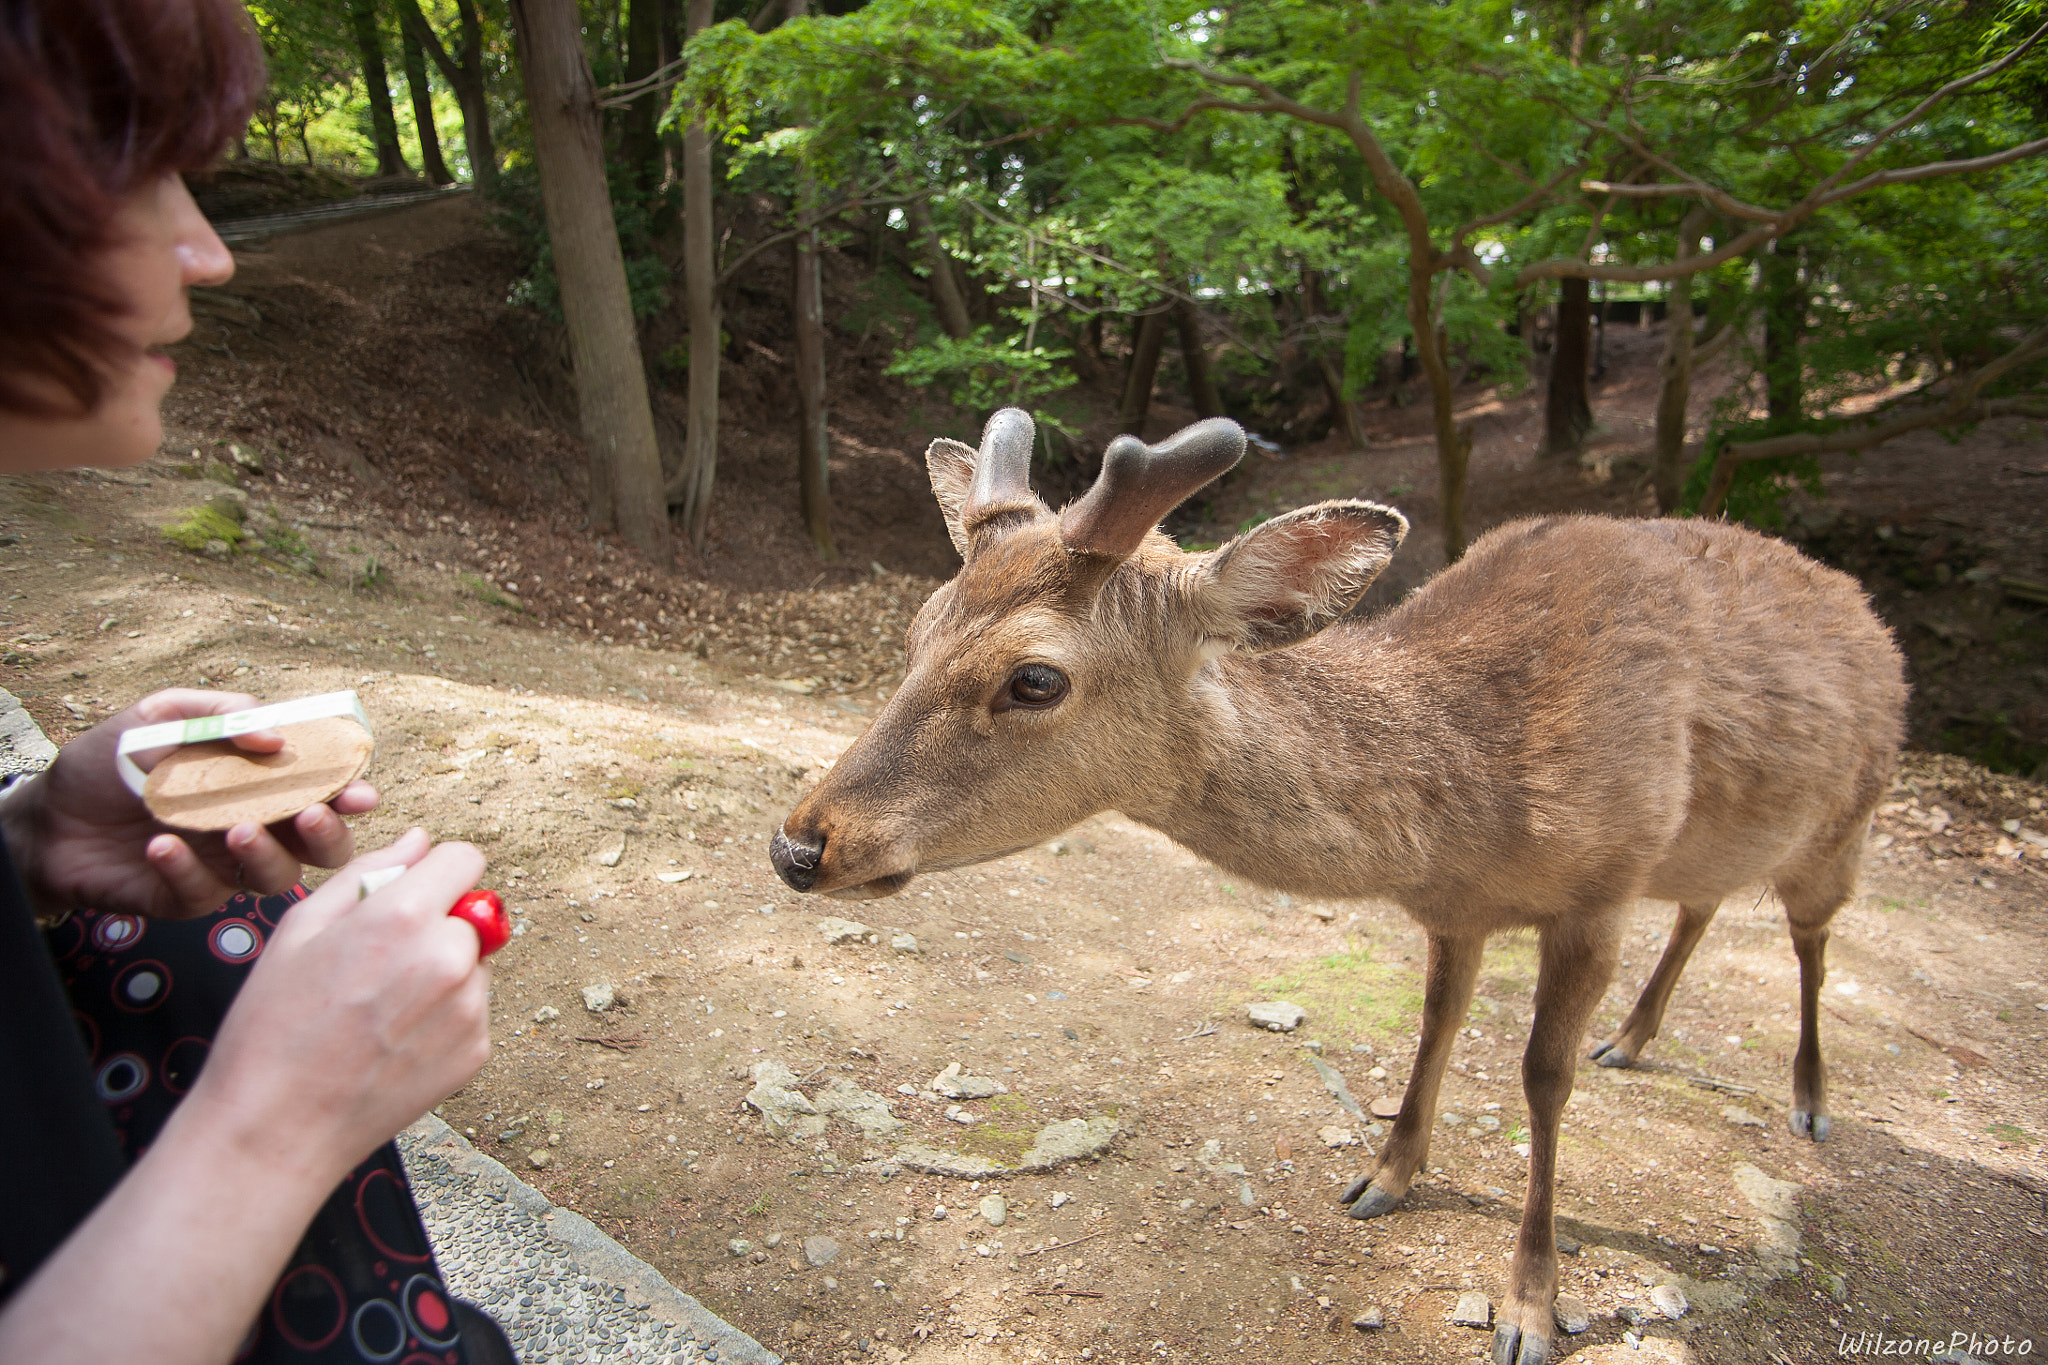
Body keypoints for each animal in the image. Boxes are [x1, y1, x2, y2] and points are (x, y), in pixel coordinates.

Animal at [765, 409, 1900, 1365]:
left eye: (1034, 677)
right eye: (916, 629)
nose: (800, 844)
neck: (1478, 810)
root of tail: (1862, 606)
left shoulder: (1604, 883)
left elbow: (1540, 1076)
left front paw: (1531, 1307)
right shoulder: (1454, 912)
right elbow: (1436, 1025)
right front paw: (1384, 1177)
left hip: (1848, 819)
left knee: (1811, 937)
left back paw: (1808, 1101)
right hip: (1723, 843)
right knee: (1706, 902)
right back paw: (1632, 1037)